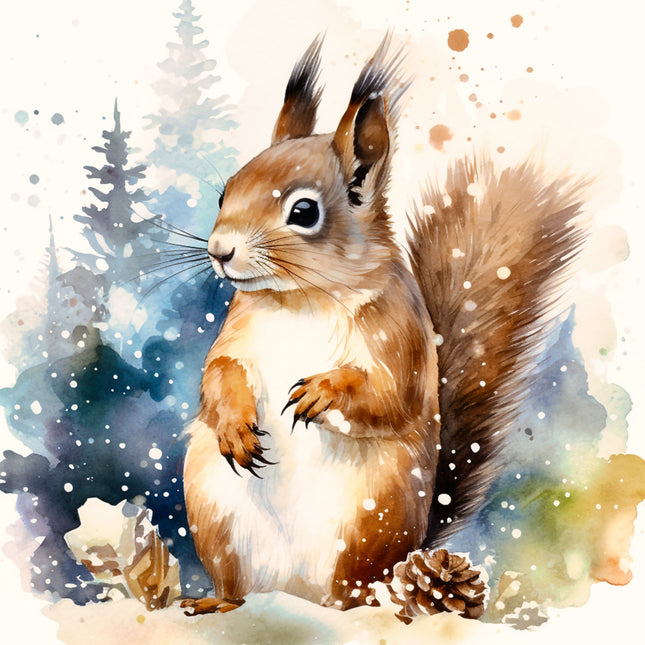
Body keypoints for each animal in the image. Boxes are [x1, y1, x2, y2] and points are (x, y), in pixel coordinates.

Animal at [181, 35, 584, 616]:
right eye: (224, 192)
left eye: (304, 212)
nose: (219, 251)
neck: (302, 299)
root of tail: (291, 594)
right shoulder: (238, 333)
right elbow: (218, 372)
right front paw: (235, 424)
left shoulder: (401, 334)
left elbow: (393, 393)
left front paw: (324, 391)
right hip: (215, 509)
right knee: (235, 585)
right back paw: (218, 603)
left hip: (370, 521)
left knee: (354, 592)